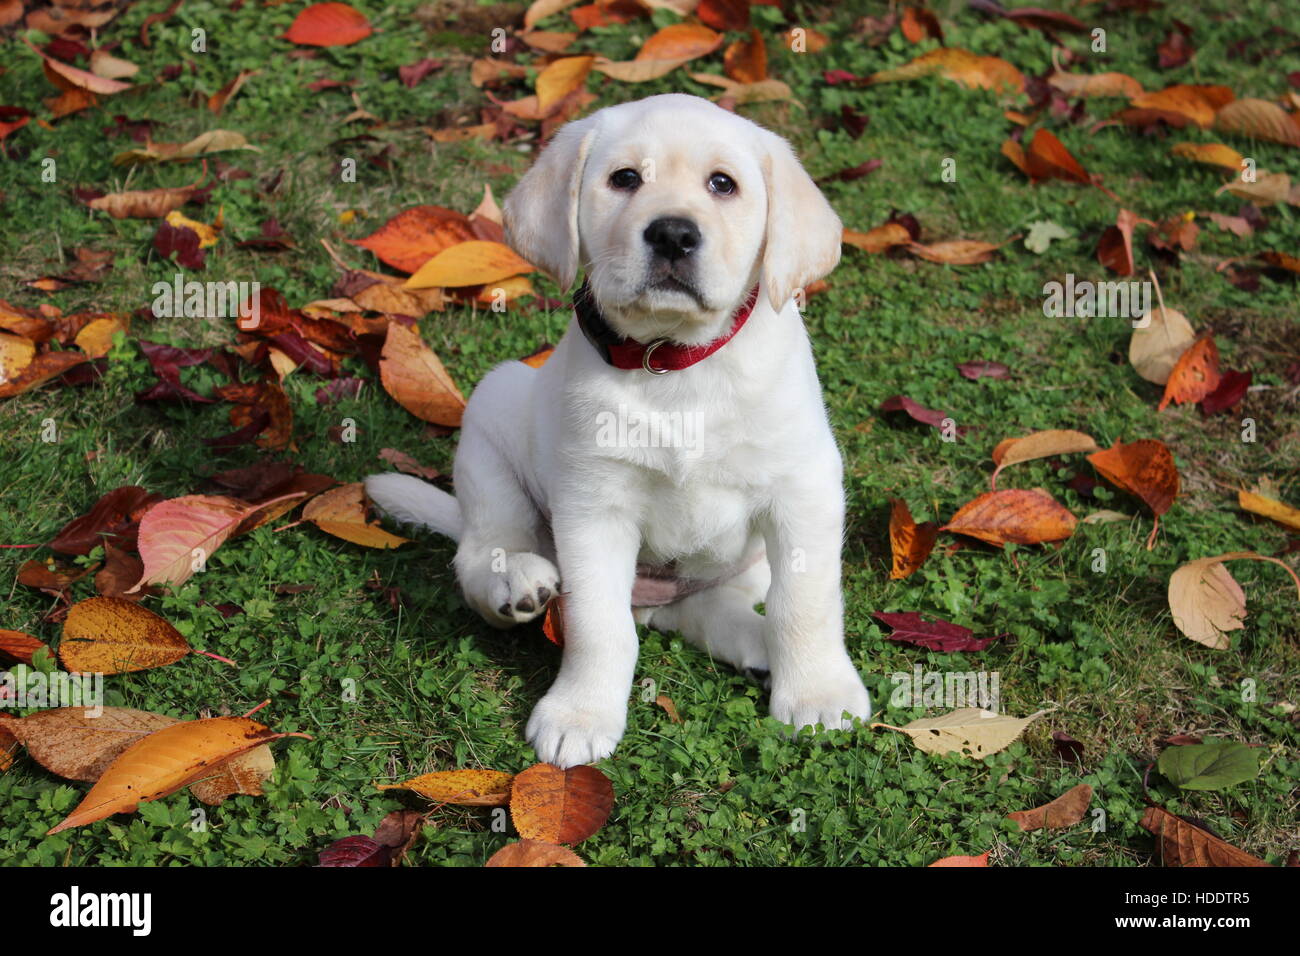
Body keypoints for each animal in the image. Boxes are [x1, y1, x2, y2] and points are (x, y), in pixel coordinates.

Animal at [369, 93, 873, 764]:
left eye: (723, 184)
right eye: (625, 178)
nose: (674, 233)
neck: (674, 358)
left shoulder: (803, 488)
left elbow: (806, 603)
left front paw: (817, 693)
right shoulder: (594, 505)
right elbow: (597, 626)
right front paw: (580, 713)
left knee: (711, 606)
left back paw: (755, 644)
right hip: (493, 411)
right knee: (481, 549)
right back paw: (514, 579)